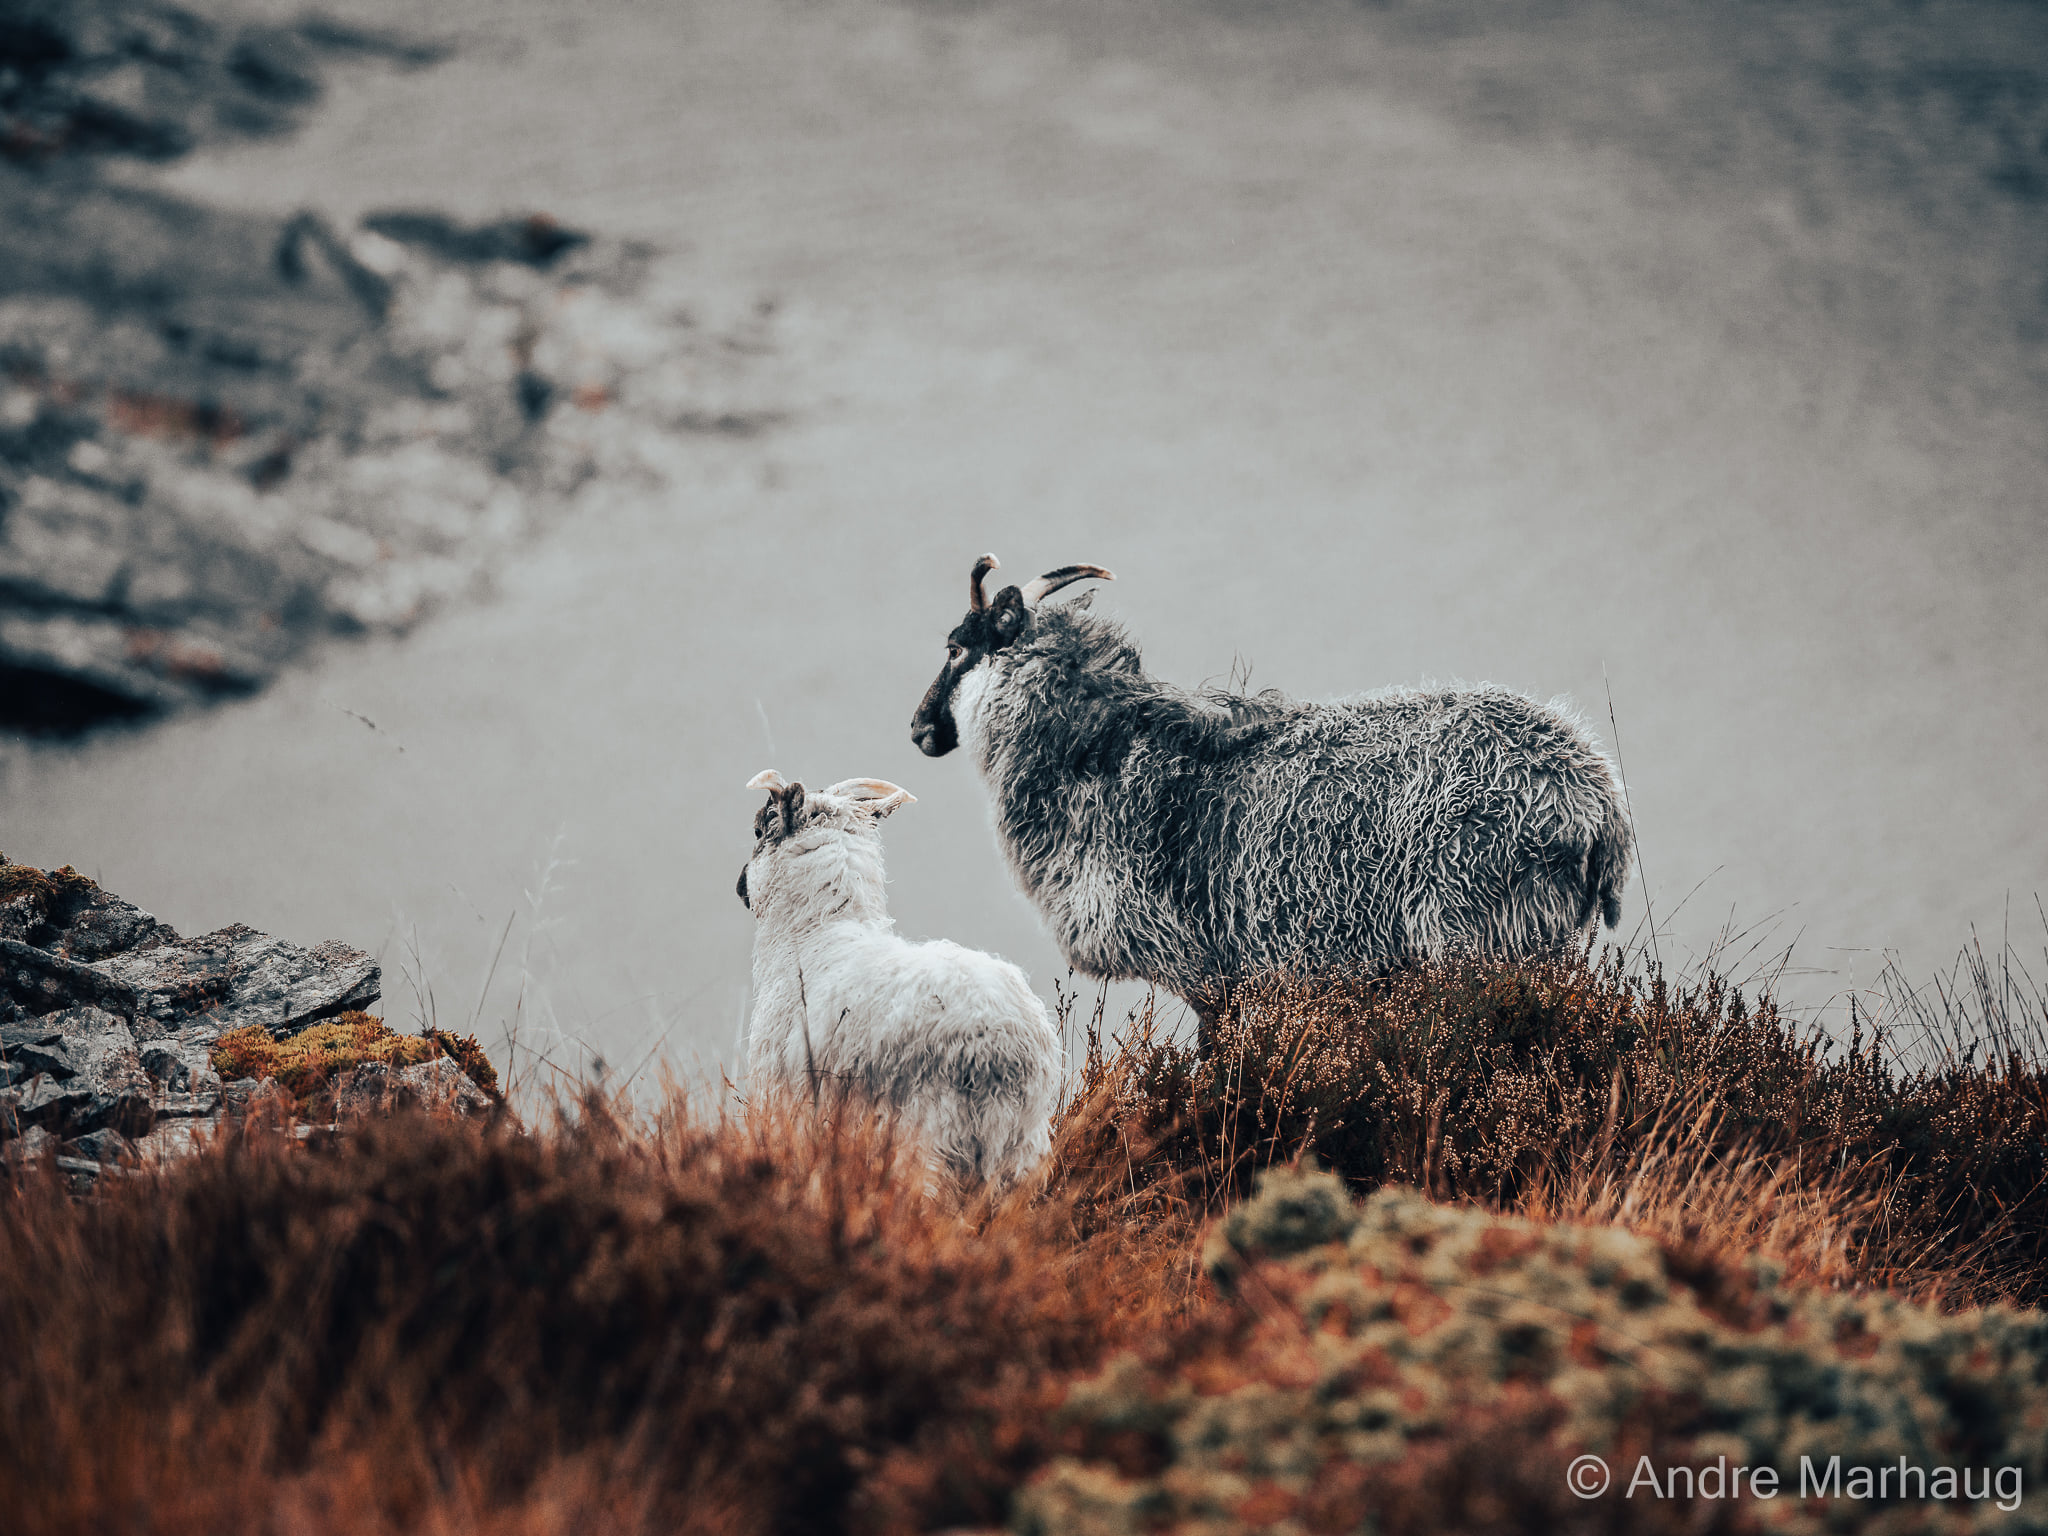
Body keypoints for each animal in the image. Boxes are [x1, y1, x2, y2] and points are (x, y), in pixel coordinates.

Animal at [737, 770, 1064, 1187]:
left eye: (759, 829)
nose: (740, 886)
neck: (813, 933)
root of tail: (1003, 1046)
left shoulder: (781, 1098)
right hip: (1022, 1150)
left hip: (928, 1139)